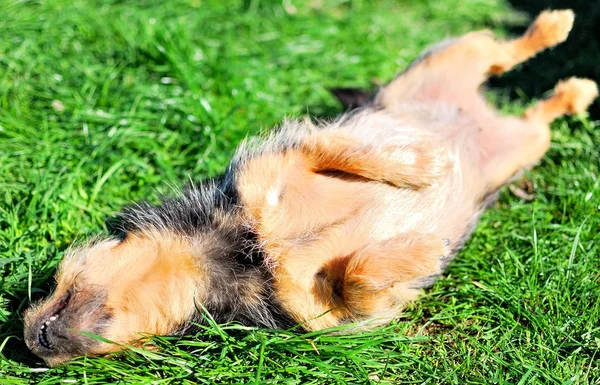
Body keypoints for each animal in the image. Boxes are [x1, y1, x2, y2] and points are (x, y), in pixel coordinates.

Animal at [22, 9, 596, 366]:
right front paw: (421, 251)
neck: (244, 252)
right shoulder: (335, 316)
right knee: (541, 110)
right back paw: (576, 89)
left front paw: (421, 164)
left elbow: (349, 151)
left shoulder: (286, 158)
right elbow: (361, 277)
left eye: (53, 282)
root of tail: (484, 114)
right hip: (528, 143)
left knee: (502, 52)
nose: (29, 341)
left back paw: (553, 27)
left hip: (450, 60)